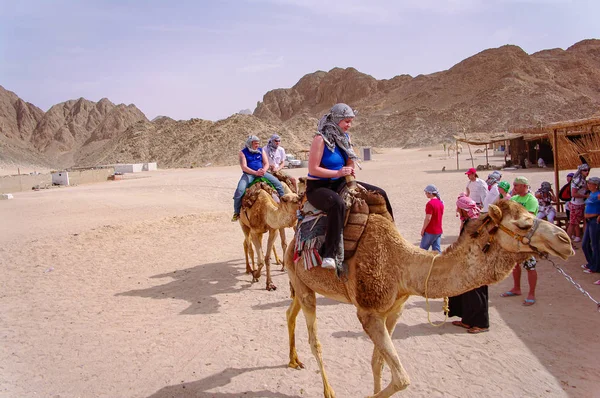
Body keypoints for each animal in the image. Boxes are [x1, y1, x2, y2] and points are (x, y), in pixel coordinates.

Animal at [284, 199, 576, 398]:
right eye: (523, 224)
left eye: (532, 213)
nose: (566, 240)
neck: (403, 268)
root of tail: (292, 242)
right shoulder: (368, 312)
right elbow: (401, 379)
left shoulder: (394, 310)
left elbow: (378, 362)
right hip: (302, 282)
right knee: (315, 340)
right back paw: (327, 389)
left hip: (301, 284)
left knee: (290, 313)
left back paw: (293, 361)